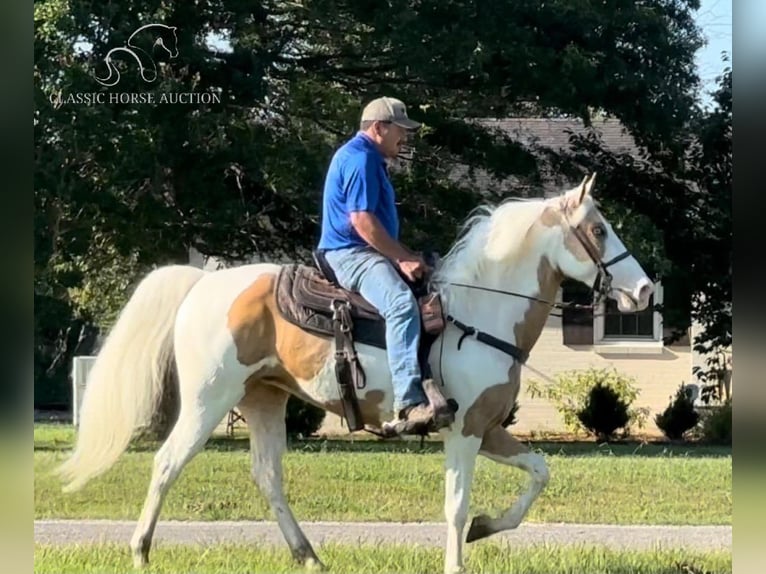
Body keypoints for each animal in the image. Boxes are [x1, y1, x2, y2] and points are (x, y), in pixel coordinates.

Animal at [55, 173, 656, 572]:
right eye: (598, 229)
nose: (646, 291)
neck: (479, 311)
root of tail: (204, 283)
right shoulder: (462, 432)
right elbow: (455, 506)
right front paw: (461, 553)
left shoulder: (486, 429)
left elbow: (539, 472)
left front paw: (488, 528)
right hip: (208, 400)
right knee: (166, 462)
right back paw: (140, 551)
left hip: (264, 400)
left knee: (268, 477)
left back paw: (308, 556)